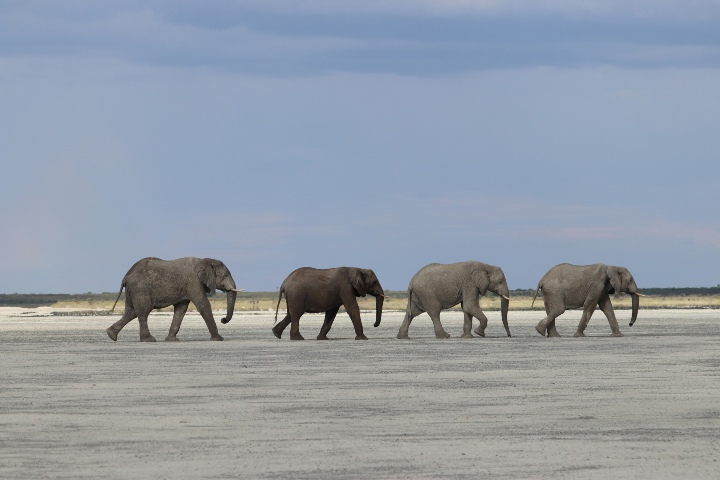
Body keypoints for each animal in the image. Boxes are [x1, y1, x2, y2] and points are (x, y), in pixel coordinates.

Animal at [106, 257, 243, 342]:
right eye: (225, 275)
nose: (223, 319)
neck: (204, 260)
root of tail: (126, 277)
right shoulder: (194, 282)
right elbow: (203, 305)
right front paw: (219, 339)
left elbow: (181, 309)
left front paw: (172, 340)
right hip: (140, 290)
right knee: (143, 312)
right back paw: (149, 340)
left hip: (132, 291)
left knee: (131, 312)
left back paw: (111, 335)